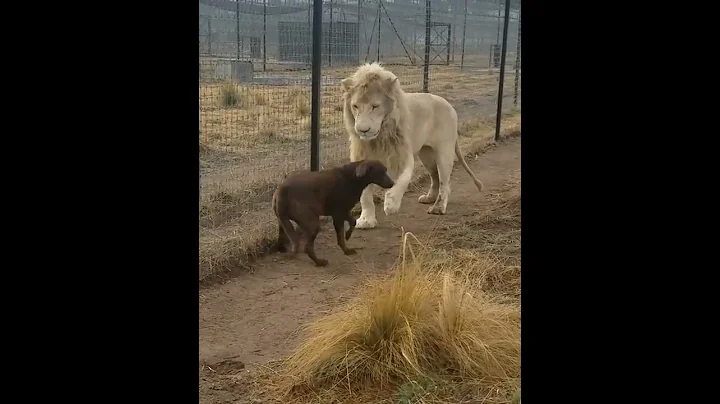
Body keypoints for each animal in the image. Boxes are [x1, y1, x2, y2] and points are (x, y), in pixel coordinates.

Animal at [342, 61, 484, 229]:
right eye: (355, 106)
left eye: (375, 106)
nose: (362, 130)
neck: (379, 137)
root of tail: (449, 105)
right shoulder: (362, 158)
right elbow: (364, 195)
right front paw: (366, 220)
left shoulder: (403, 154)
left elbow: (403, 180)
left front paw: (391, 204)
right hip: (426, 155)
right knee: (435, 177)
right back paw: (429, 198)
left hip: (444, 153)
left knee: (445, 182)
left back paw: (438, 207)